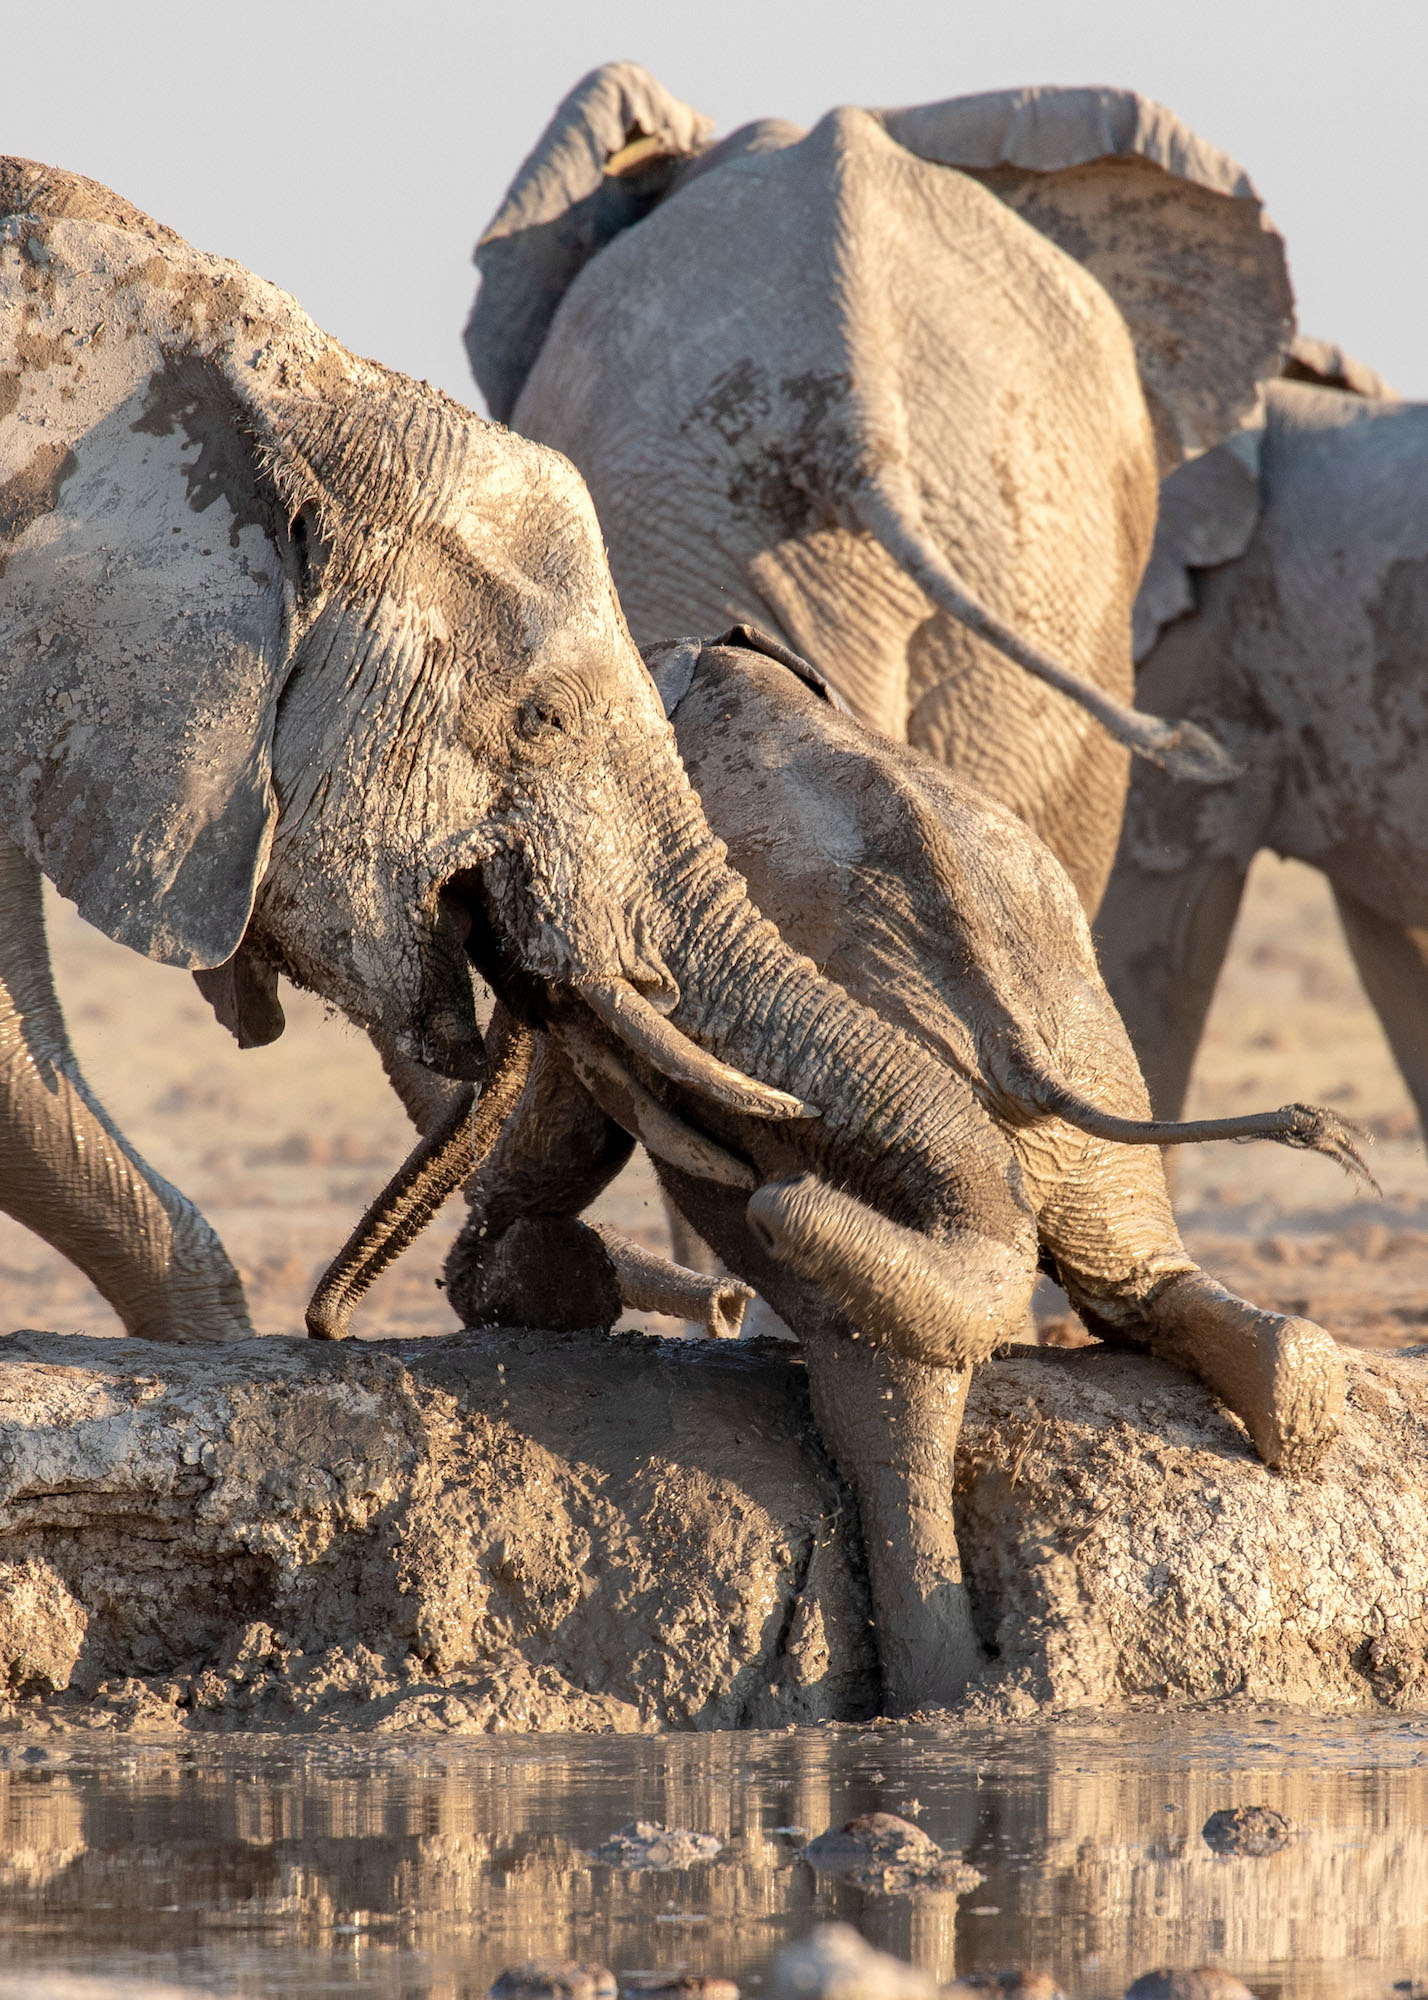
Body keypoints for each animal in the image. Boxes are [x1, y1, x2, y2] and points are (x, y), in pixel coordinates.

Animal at [336, 632, 1360, 1712]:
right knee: (1136, 1274)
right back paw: (1293, 1395)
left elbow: (571, 1121)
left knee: (877, 1403)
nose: (329, 1324)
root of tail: (1007, 1033)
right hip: (1088, 1061)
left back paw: (941, 1690)